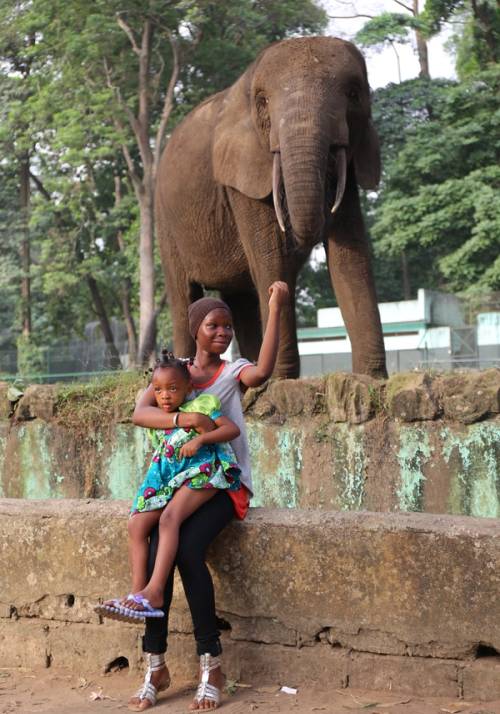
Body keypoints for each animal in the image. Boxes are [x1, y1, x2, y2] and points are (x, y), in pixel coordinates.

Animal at [155, 36, 387, 378]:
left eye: (354, 94)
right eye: (263, 101)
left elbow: (350, 254)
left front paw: (370, 378)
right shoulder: (242, 173)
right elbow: (270, 255)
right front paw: (280, 380)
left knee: (239, 297)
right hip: (165, 224)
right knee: (184, 293)